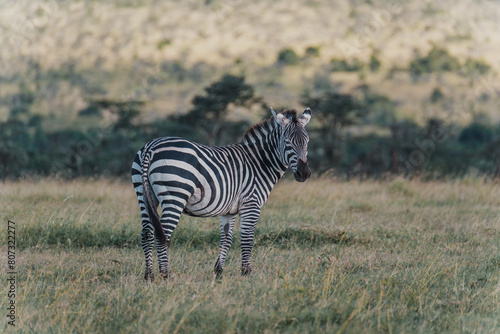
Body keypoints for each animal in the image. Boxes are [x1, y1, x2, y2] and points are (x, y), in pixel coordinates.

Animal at [131, 107, 310, 280]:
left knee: (146, 233)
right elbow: (247, 239)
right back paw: (166, 274)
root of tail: (151, 147)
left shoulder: (229, 210)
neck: (259, 163)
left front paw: (219, 271)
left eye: (307, 142)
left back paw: (149, 275)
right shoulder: (251, 204)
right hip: (174, 196)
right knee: (162, 234)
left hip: (144, 195)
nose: (304, 174)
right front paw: (247, 272)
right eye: (287, 142)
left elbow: (226, 239)